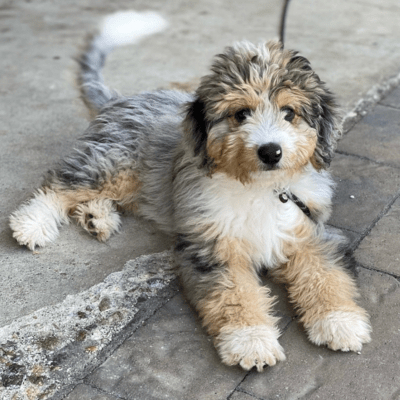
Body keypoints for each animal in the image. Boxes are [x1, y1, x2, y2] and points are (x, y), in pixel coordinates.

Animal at [10, 9, 372, 372]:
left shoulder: (310, 231)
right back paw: (32, 223)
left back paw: (96, 217)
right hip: (114, 163)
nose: (271, 152)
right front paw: (251, 340)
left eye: (290, 113)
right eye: (241, 113)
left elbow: (326, 274)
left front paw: (340, 321)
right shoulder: (213, 247)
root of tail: (121, 99)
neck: (259, 187)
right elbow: (234, 294)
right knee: (62, 184)